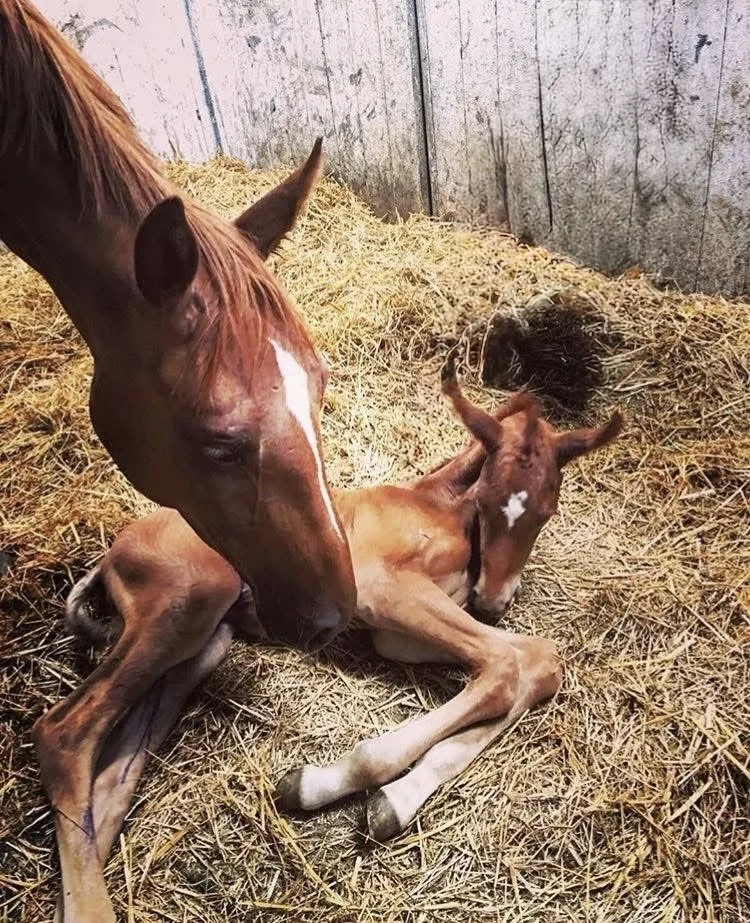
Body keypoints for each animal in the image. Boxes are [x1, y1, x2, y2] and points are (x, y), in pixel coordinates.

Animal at [35, 366, 622, 921]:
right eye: (490, 498)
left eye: (547, 511)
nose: (495, 599)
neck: (438, 504)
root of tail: (114, 551)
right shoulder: (381, 589)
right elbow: (502, 667)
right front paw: (333, 786)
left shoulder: (405, 628)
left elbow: (534, 661)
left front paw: (396, 798)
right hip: (188, 601)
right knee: (63, 732)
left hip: (203, 644)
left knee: (109, 779)